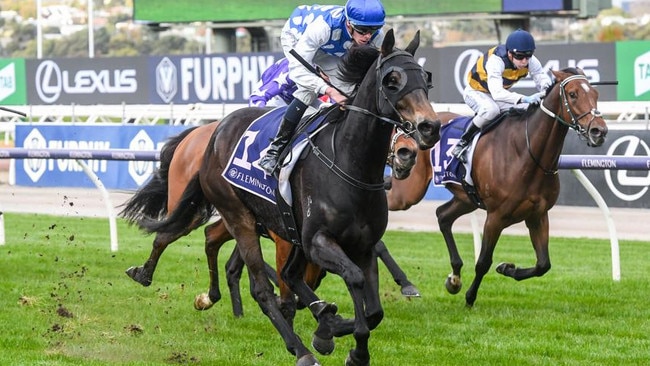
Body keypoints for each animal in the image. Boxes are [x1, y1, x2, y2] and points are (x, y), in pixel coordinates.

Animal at [384, 68, 604, 306]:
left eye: (595, 93)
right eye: (573, 94)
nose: (599, 131)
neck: (526, 153)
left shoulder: (537, 214)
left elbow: (543, 264)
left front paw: (507, 268)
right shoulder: (496, 216)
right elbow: (483, 262)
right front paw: (470, 298)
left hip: (466, 198)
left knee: (442, 215)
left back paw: (454, 278)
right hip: (407, 192)